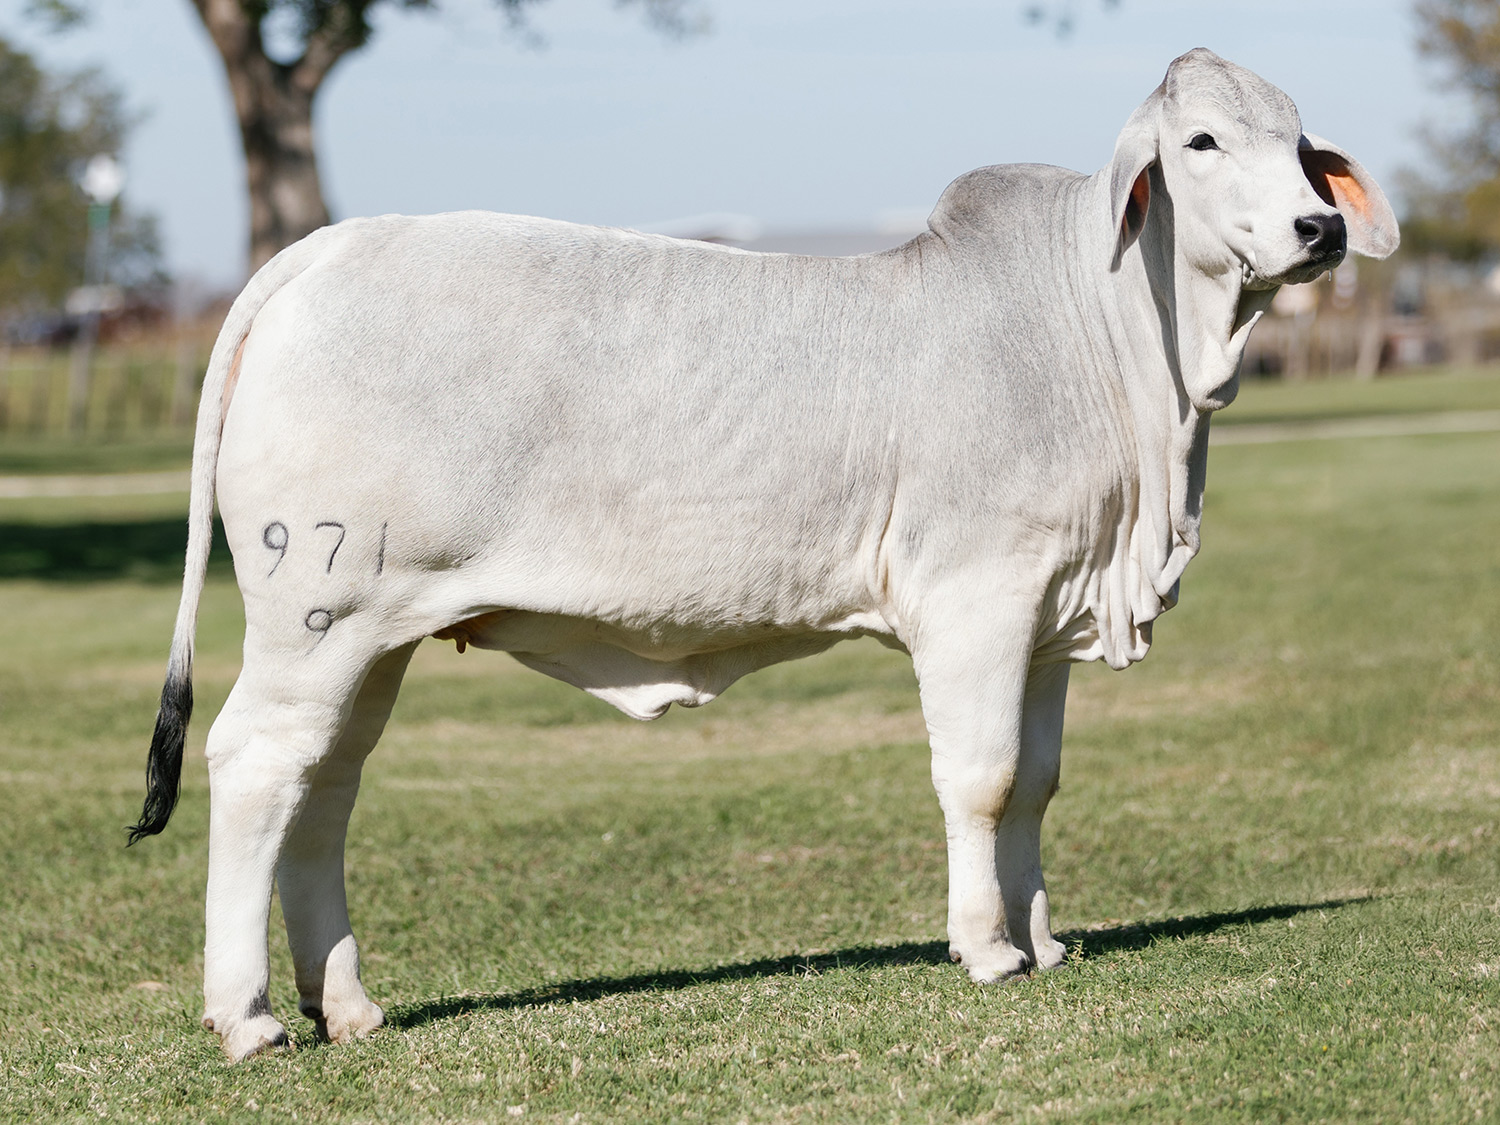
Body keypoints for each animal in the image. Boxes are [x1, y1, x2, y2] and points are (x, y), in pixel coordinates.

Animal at [126, 48, 1392, 1062]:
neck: (1110, 341)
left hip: (375, 638)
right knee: (255, 766)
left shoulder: (1045, 624)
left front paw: (1044, 939)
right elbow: (979, 779)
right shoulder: (975, 601)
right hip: (314, 614)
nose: (1320, 230)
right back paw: (248, 1017)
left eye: (1299, 146)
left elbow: (1035, 783)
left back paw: (344, 1005)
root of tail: (321, 253)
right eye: (1202, 141)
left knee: (325, 786)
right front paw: (985, 949)